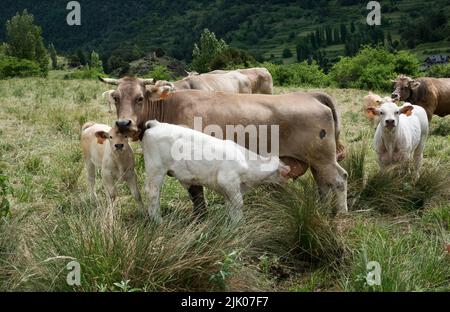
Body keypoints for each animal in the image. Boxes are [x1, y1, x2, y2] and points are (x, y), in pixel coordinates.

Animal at [142, 120, 292, 223]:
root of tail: (156, 124)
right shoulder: (228, 181)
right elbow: (239, 204)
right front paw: (240, 224)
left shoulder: (229, 189)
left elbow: (231, 207)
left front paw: (233, 224)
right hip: (156, 170)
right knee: (153, 193)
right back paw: (158, 221)